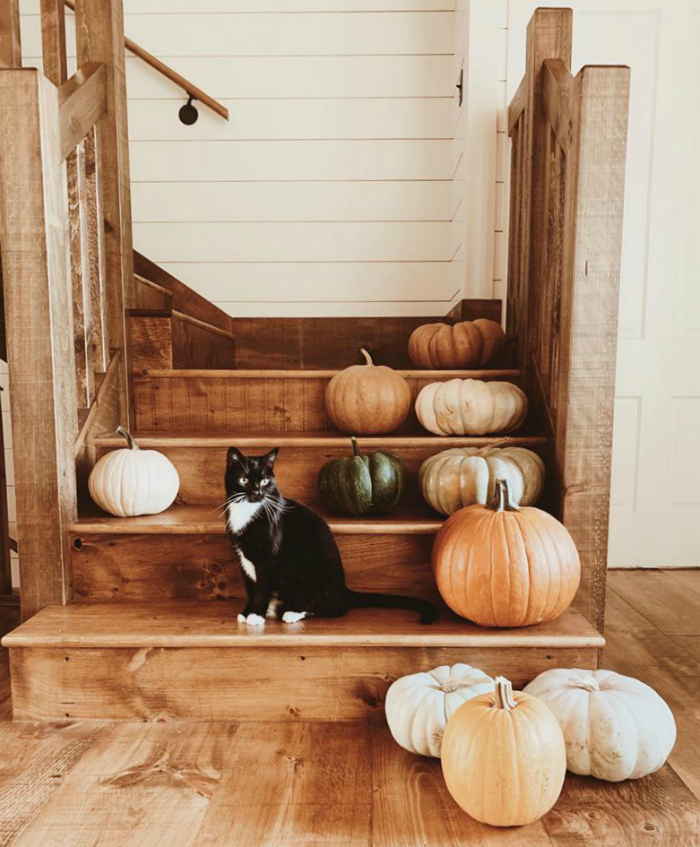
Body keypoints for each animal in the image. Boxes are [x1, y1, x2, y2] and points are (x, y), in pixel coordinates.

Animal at [226, 448, 438, 628]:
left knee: (333, 608)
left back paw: (291, 612)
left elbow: (261, 589)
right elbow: (251, 588)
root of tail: (343, 590)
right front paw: (246, 613)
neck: (247, 511)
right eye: (244, 480)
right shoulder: (242, 559)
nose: (256, 492)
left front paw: (255, 616)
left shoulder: (267, 560)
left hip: (314, 572)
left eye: (264, 481)